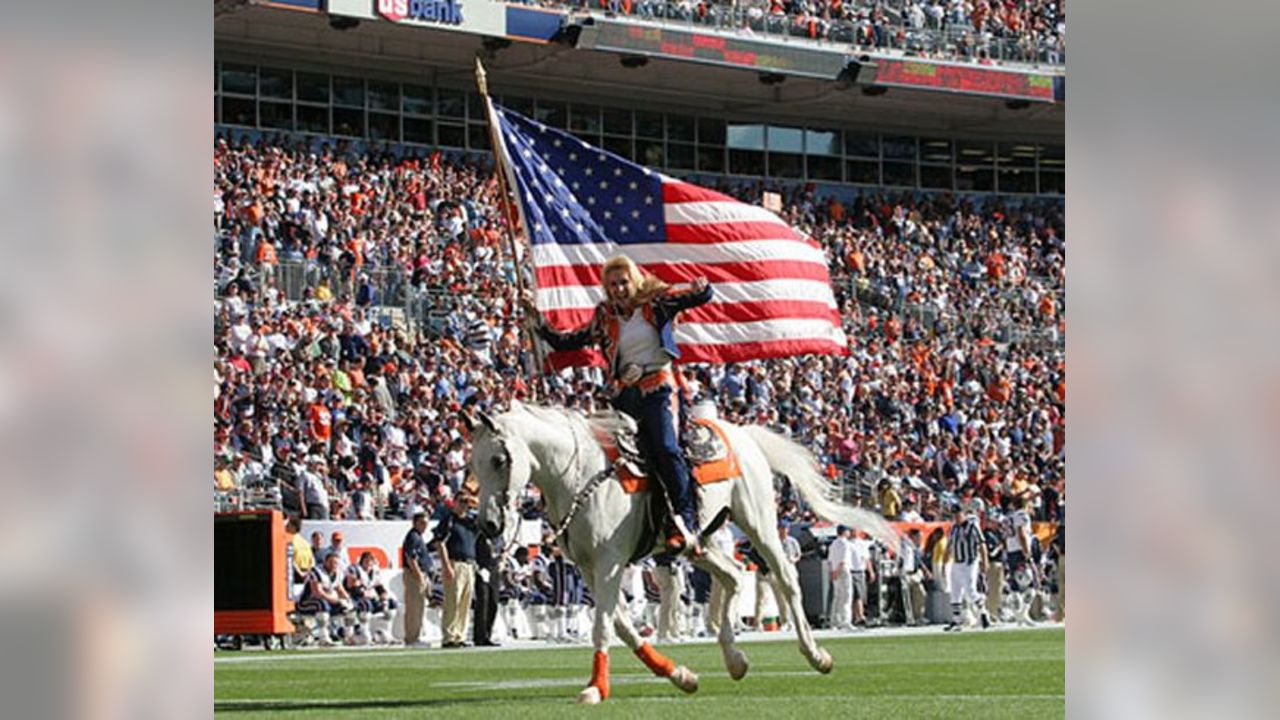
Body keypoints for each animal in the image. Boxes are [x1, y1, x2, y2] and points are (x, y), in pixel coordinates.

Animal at [465, 397, 896, 702]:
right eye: (472, 464)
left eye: (499, 459)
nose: (489, 525)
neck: (580, 475)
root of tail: (741, 432)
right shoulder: (589, 568)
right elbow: (622, 625)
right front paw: (680, 676)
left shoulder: (609, 563)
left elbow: (604, 626)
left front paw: (595, 688)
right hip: (697, 543)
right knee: (733, 576)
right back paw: (735, 659)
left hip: (757, 521)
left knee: (786, 578)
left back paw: (815, 654)